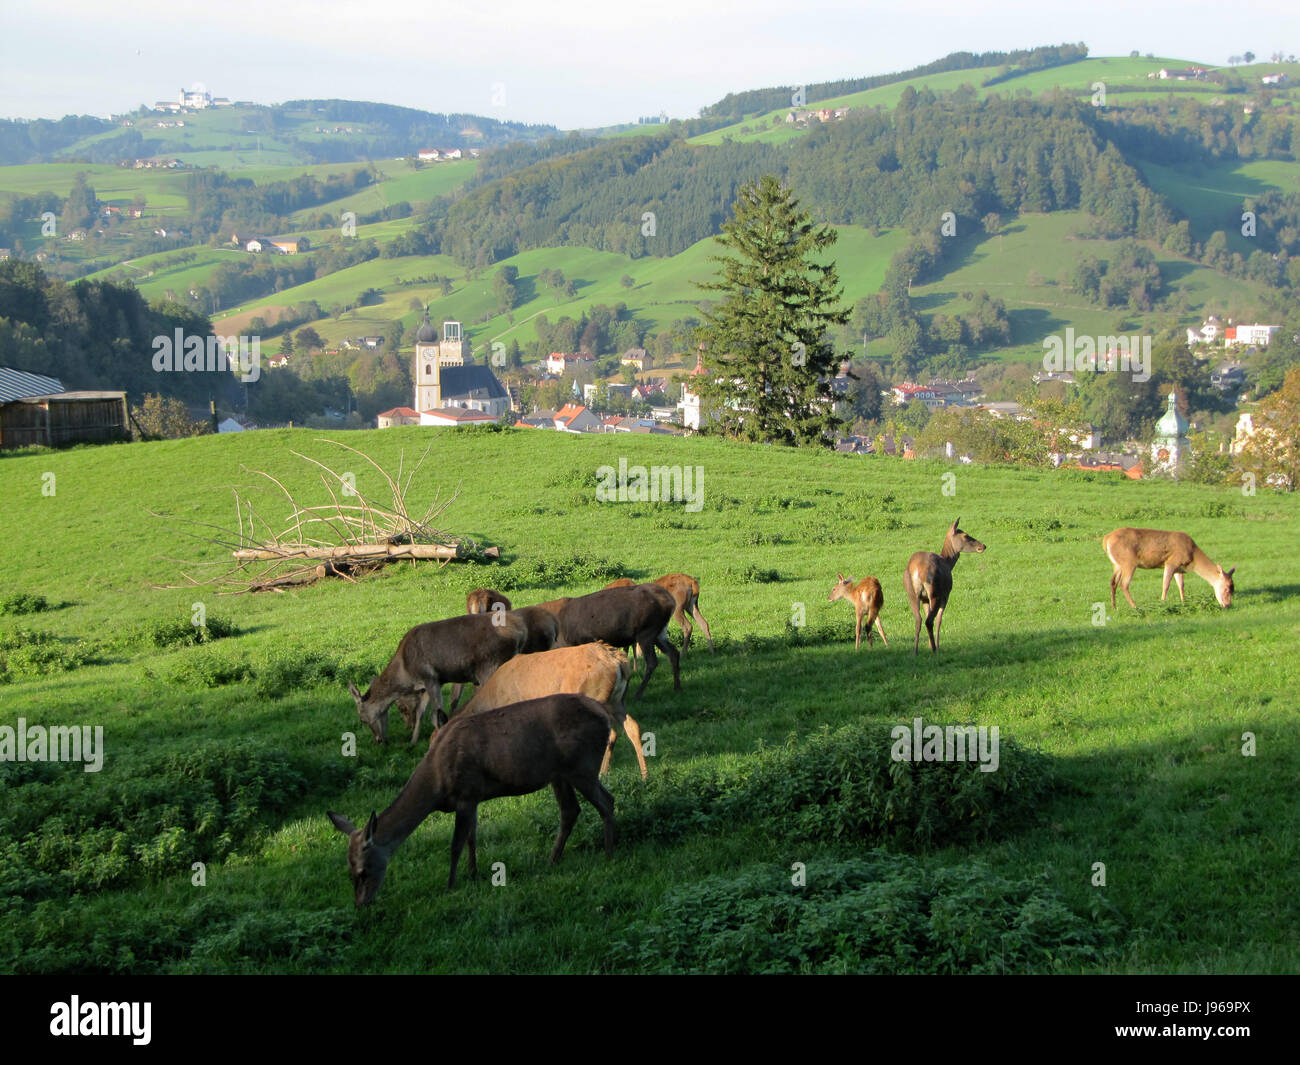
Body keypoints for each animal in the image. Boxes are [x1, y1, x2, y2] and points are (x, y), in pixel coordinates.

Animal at [322, 686, 611, 905]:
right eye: (348, 872)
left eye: (363, 871)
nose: (360, 903)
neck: (436, 784)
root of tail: (605, 716)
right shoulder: (474, 797)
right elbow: (472, 836)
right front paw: (473, 873)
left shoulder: (465, 793)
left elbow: (455, 845)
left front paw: (450, 885)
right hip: (559, 774)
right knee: (570, 810)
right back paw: (552, 860)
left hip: (582, 766)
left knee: (607, 801)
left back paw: (611, 849)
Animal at [351, 611, 527, 743]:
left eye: (362, 719)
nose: (379, 740)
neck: (406, 672)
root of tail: (520, 631)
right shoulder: (431, 684)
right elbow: (424, 712)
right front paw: (413, 741)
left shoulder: (431, 678)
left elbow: (434, 714)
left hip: (490, 665)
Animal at [460, 642, 647, 785]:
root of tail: (618, 661)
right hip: (617, 700)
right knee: (632, 727)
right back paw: (643, 775)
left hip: (594, 697)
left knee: (611, 732)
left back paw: (601, 773)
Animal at [904, 517, 982, 652]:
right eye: (965, 535)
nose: (982, 546)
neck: (948, 563)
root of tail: (916, 570)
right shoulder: (946, 595)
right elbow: (939, 619)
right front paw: (936, 645)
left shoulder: (925, 599)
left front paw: (929, 645)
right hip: (934, 592)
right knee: (929, 621)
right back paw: (935, 650)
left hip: (912, 594)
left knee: (918, 619)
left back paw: (915, 651)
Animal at [1107, 527, 1237, 608]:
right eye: (1227, 588)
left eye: (1233, 588)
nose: (1227, 605)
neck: (1193, 558)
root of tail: (1106, 540)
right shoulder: (1171, 562)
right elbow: (1166, 585)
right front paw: (1163, 603)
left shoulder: (1179, 568)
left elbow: (1181, 585)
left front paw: (1184, 602)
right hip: (1129, 562)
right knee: (1124, 584)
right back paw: (1135, 607)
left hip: (1117, 565)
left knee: (1113, 582)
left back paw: (1114, 607)